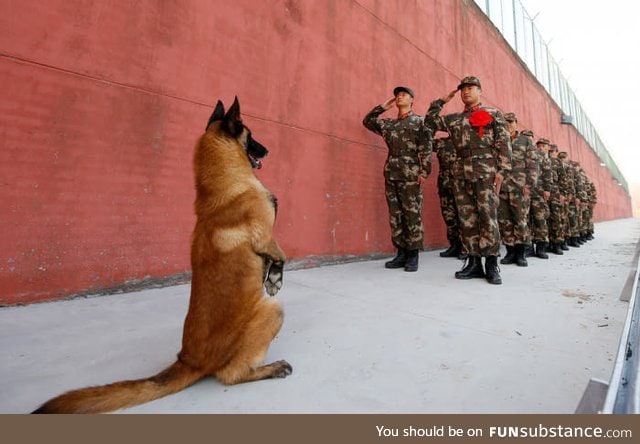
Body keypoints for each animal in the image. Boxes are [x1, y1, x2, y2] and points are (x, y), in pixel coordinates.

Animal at [33, 97, 294, 412]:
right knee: (231, 375)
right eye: (251, 135)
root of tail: (190, 361)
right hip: (272, 312)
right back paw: (270, 368)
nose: (266, 150)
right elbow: (280, 254)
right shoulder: (265, 236)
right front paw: (275, 278)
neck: (226, 182)